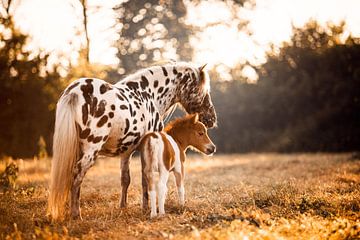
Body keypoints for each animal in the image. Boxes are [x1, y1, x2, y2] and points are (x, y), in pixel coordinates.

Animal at [47, 62, 217, 221]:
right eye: (204, 91)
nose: (212, 119)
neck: (149, 94)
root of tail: (75, 91)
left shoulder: (126, 152)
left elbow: (125, 179)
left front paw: (123, 206)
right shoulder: (145, 150)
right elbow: (145, 179)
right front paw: (146, 208)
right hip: (90, 151)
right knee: (77, 175)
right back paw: (76, 214)